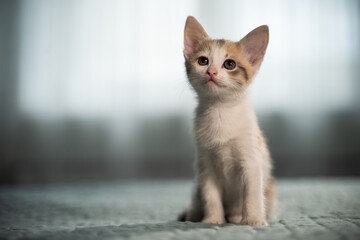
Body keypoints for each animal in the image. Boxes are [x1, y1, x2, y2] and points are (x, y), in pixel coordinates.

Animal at [179, 15, 278, 226]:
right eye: (203, 60)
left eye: (229, 64)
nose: (212, 72)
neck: (220, 111)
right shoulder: (205, 164)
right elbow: (210, 195)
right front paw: (212, 219)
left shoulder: (252, 160)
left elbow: (252, 193)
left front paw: (254, 220)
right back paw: (194, 215)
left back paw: (236, 217)